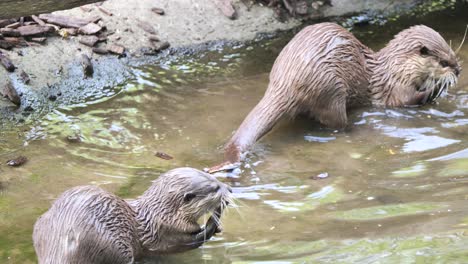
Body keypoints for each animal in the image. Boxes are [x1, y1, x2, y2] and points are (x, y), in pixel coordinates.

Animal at [31, 168, 232, 262]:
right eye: (214, 188)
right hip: (112, 245)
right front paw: (213, 221)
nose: (230, 189)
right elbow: (191, 241)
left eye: (214, 178)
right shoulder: (167, 234)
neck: (160, 215)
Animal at [215, 21, 460, 168]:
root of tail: (285, 81)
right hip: (331, 90)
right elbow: (405, 101)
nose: (458, 69)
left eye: (452, 53)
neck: (397, 68)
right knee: (336, 122)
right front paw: (434, 90)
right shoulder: (396, 88)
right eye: (444, 62)